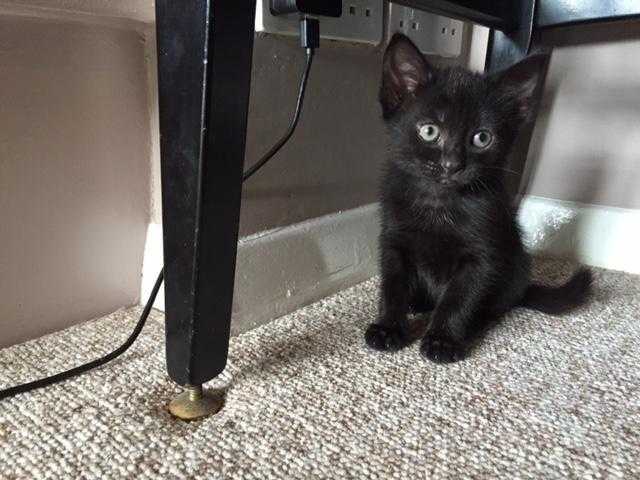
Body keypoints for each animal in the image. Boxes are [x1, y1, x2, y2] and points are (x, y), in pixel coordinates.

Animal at [364, 34, 592, 364]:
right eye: (429, 131)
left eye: (482, 138)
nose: (452, 164)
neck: (440, 202)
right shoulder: (394, 240)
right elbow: (392, 286)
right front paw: (388, 327)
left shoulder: (484, 254)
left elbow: (460, 298)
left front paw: (443, 339)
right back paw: (417, 304)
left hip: (515, 261)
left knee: (498, 304)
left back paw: (477, 321)